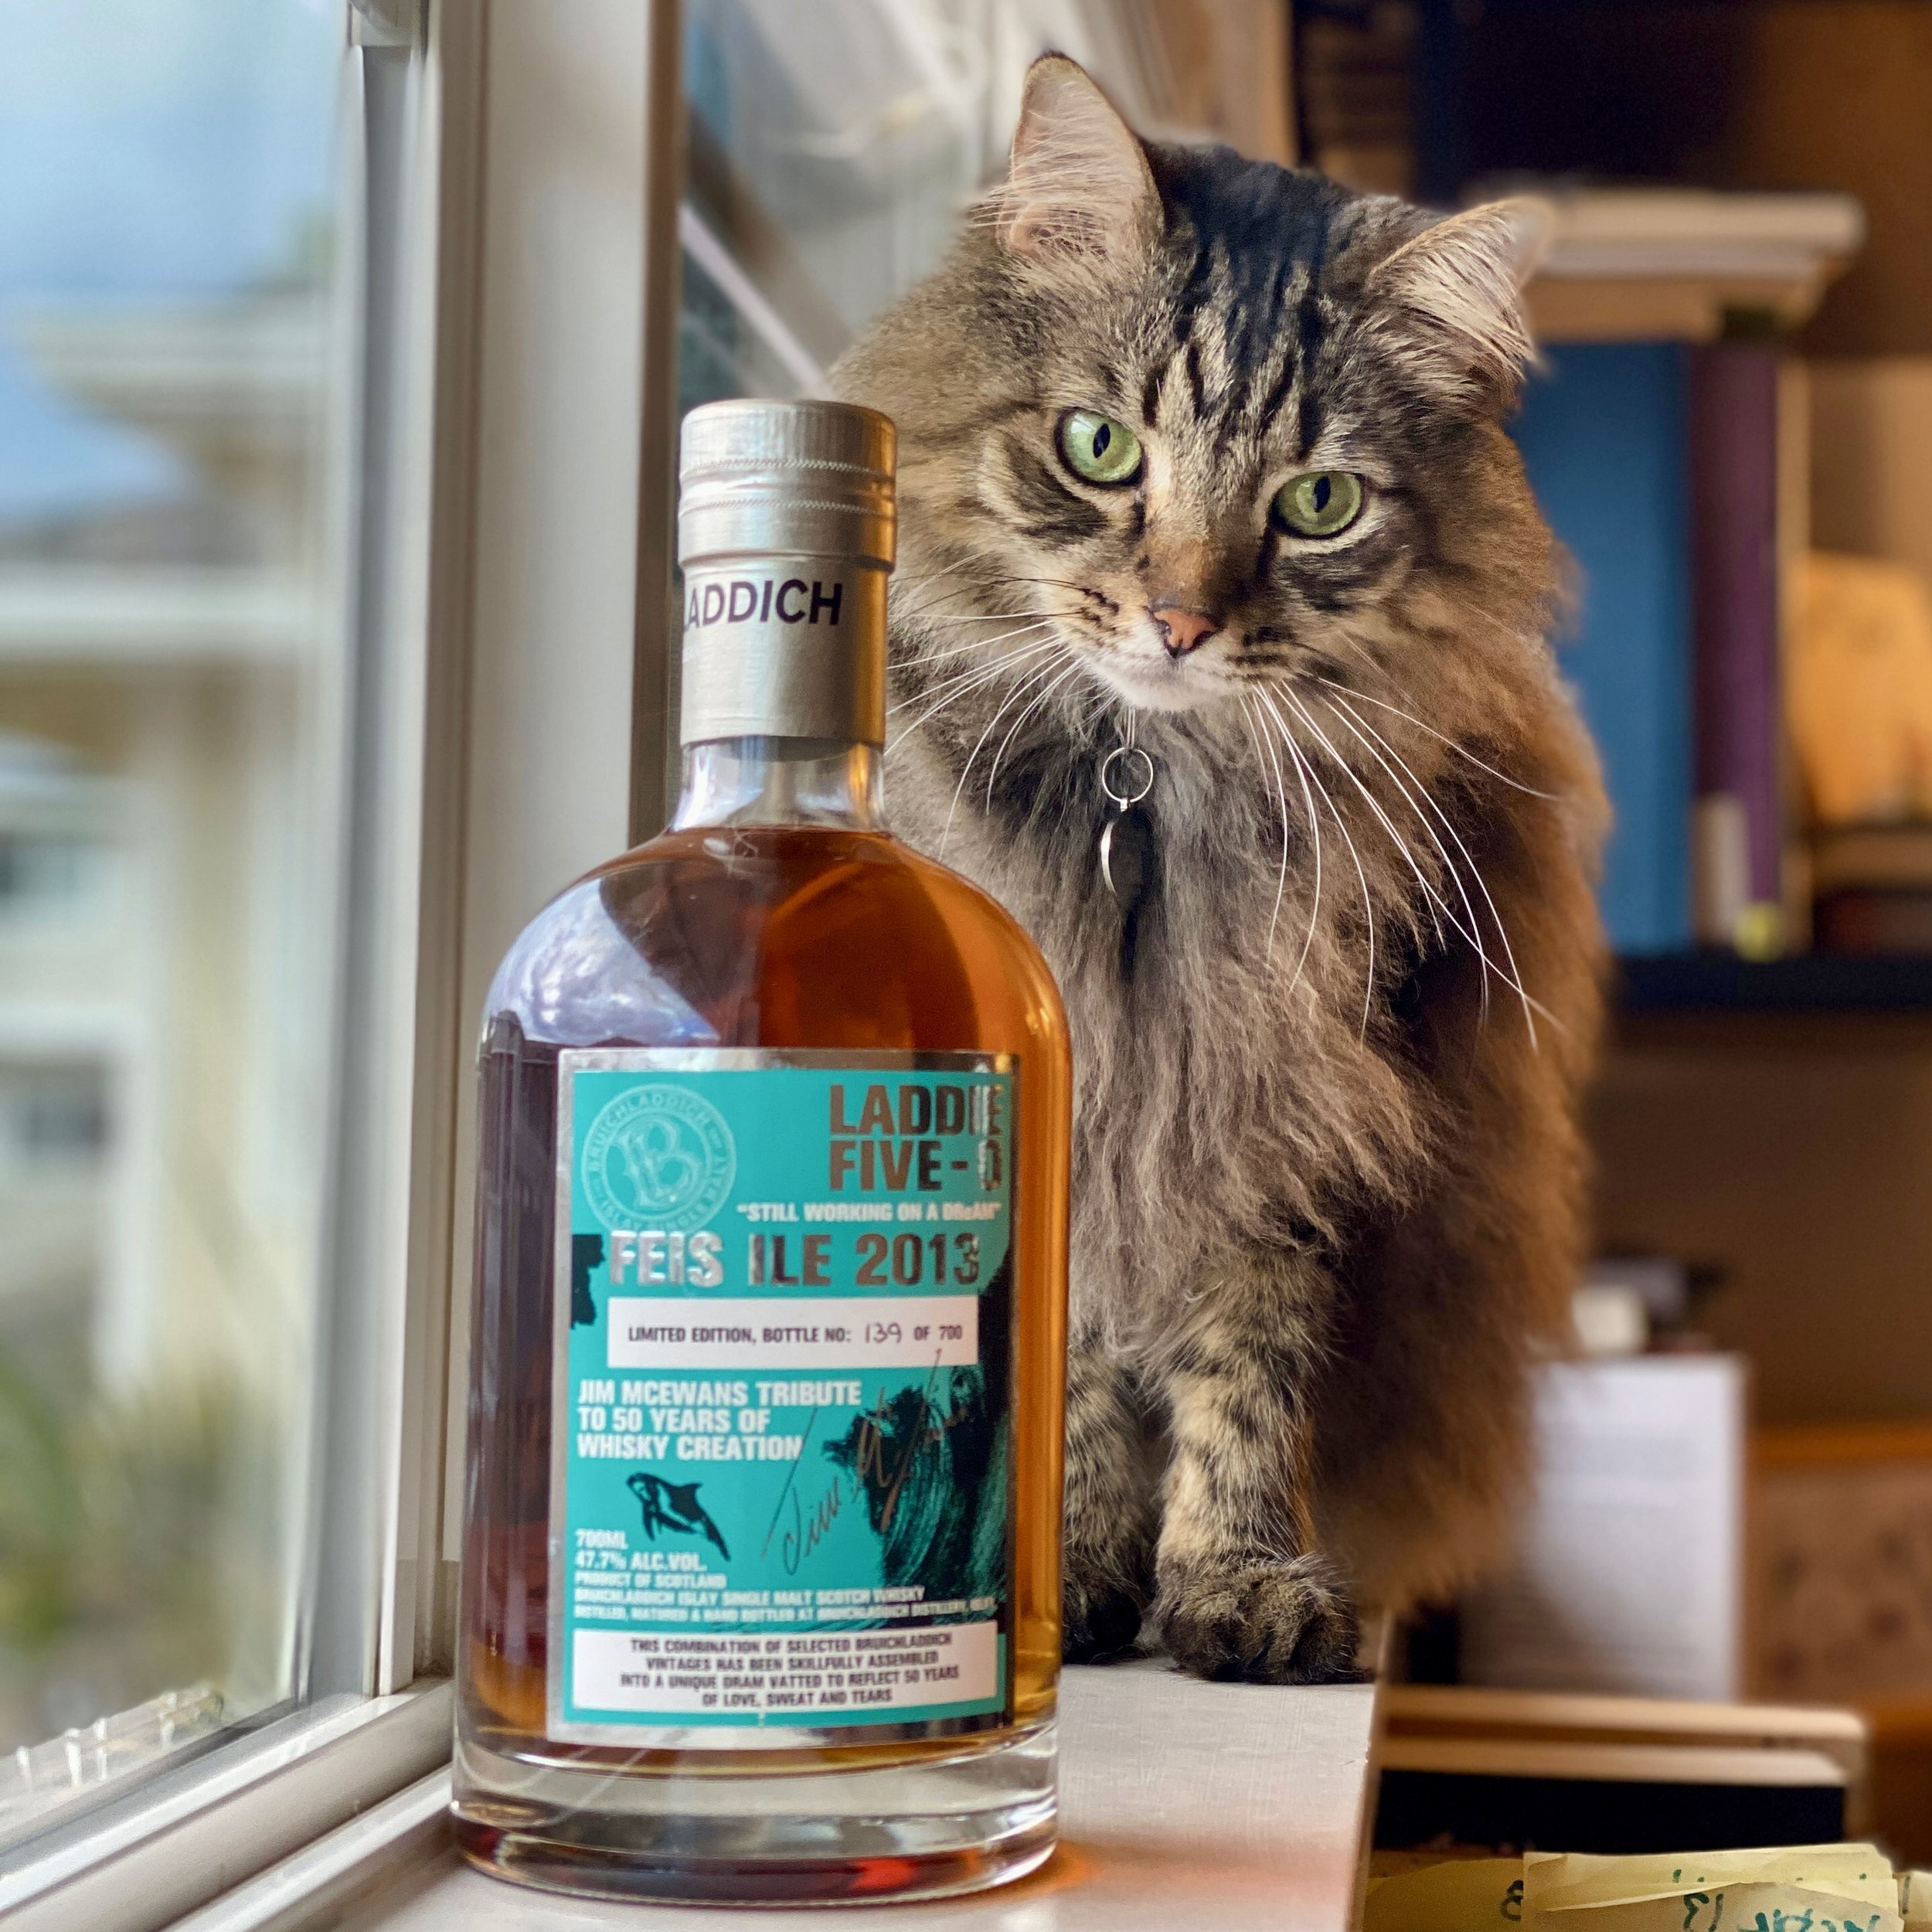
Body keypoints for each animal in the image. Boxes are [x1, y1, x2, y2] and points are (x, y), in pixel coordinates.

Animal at [833, 54, 1607, 1683]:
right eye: (1100, 450)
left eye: (1318, 505)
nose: (1180, 622)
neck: (1150, 801)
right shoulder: (1065, 1096)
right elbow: (1073, 1365)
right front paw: (1074, 1571)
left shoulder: (1290, 1097)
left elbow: (1250, 1375)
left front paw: (1235, 1583)